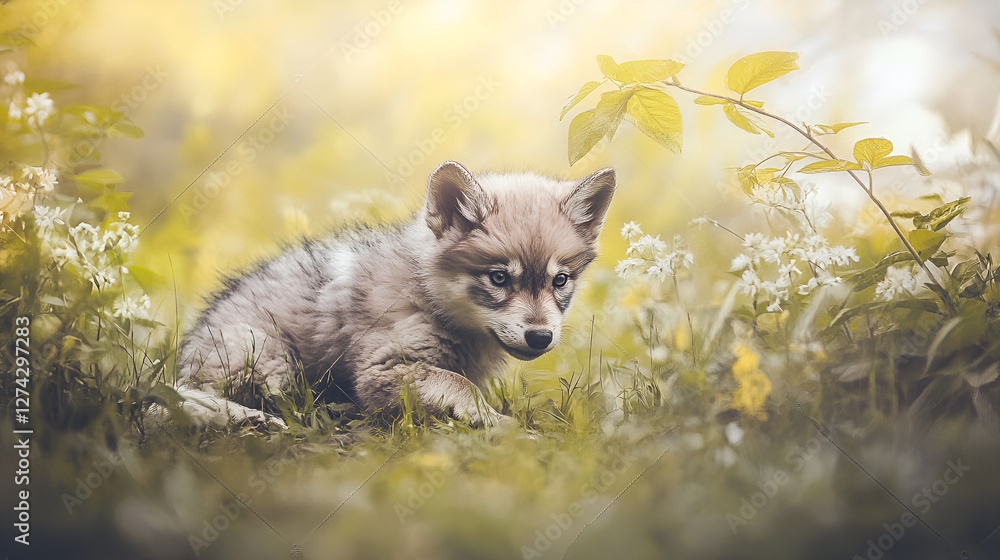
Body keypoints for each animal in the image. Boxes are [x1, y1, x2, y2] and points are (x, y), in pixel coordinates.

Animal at [172, 161, 616, 428]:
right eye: (499, 278)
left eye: (560, 281)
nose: (540, 337)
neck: (428, 296)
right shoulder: (382, 368)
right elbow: (460, 385)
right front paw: (498, 423)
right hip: (270, 362)